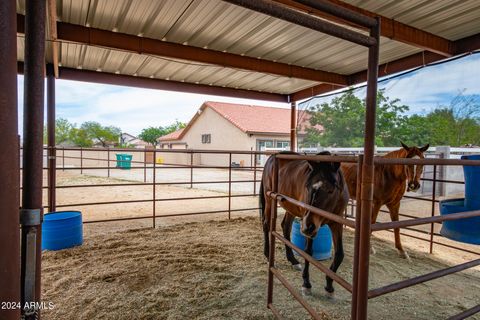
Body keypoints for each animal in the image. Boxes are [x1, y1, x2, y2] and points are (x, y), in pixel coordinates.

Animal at [260, 152, 346, 296]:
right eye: (307, 186)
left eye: (331, 190)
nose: (306, 227)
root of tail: (272, 157)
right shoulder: (311, 228)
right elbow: (308, 252)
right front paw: (306, 284)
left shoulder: (336, 224)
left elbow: (339, 254)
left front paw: (329, 286)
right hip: (269, 200)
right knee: (266, 224)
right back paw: (267, 255)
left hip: (291, 207)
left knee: (286, 227)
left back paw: (293, 260)